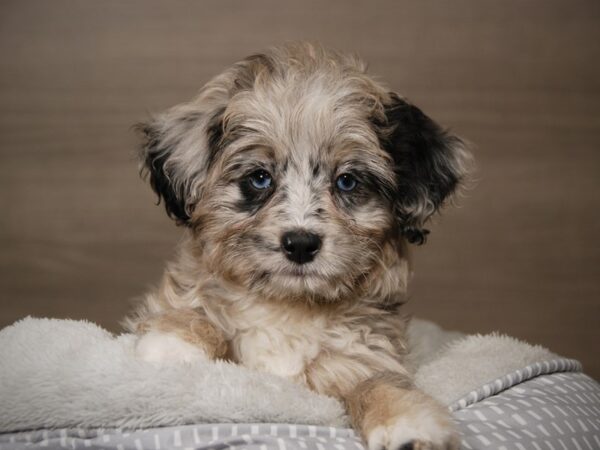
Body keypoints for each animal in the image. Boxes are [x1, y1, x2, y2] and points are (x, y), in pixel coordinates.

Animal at [125, 43, 468, 450]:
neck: (289, 306)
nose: (301, 244)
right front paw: (172, 346)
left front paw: (405, 423)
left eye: (347, 182)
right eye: (259, 178)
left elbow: (377, 382)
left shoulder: (362, 354)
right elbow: (195, 311)